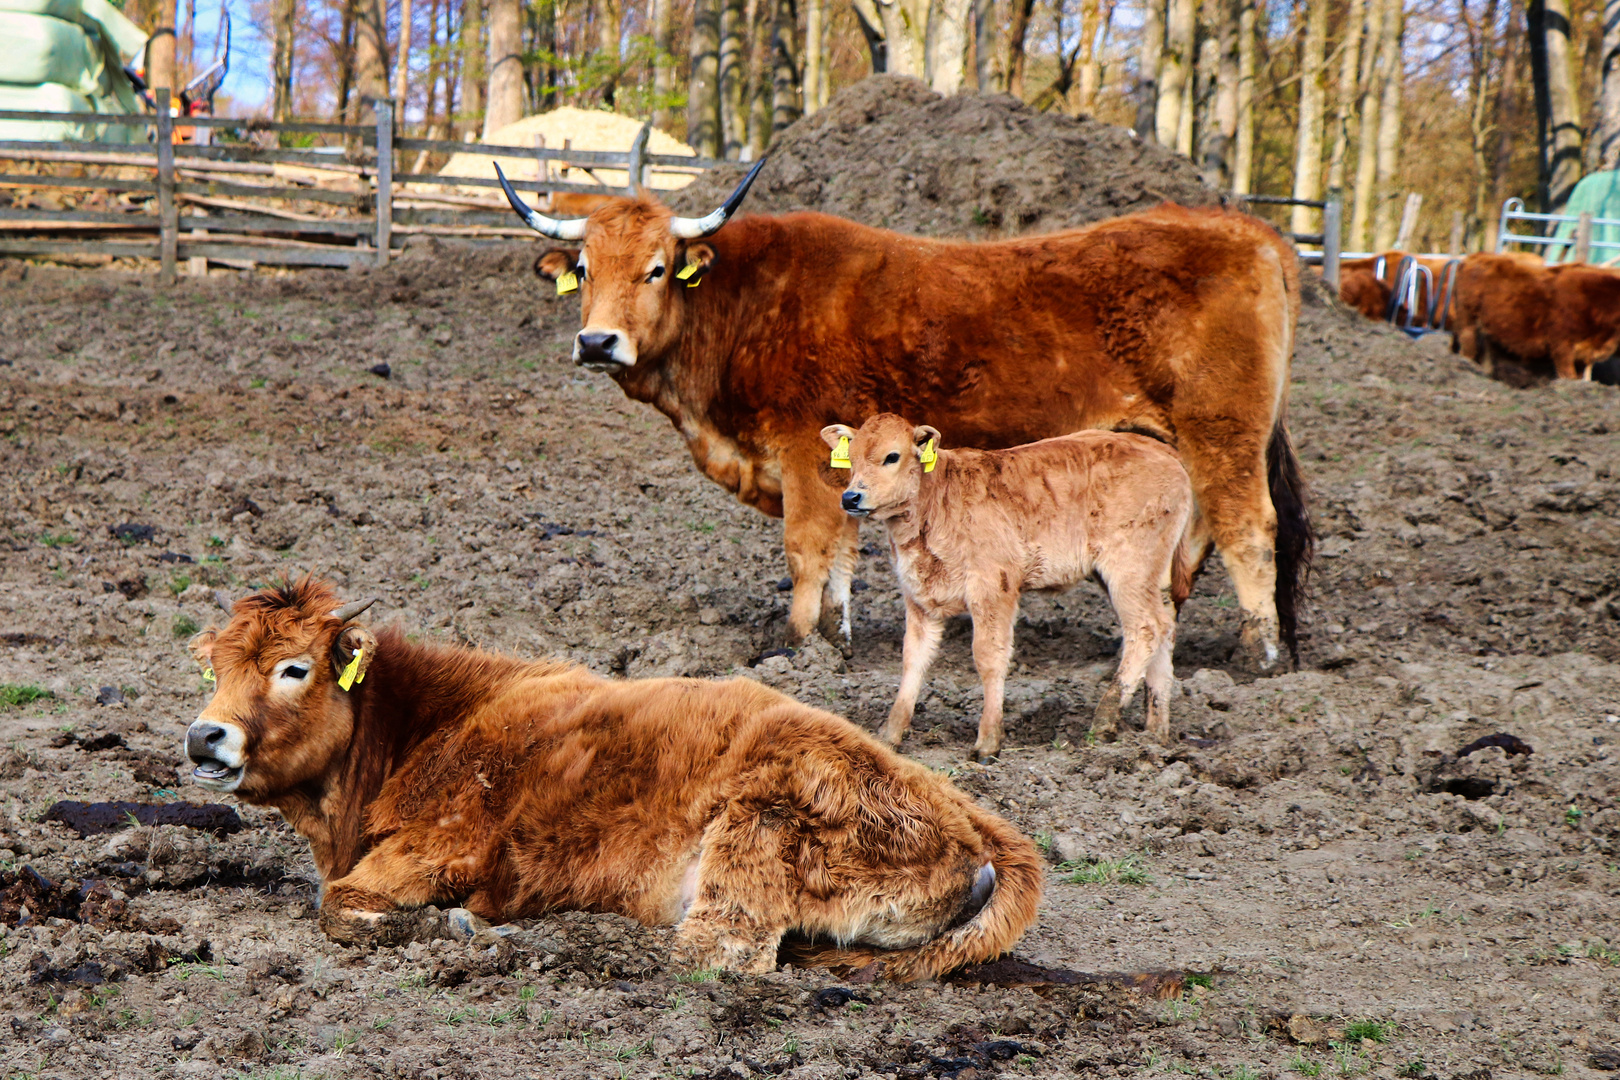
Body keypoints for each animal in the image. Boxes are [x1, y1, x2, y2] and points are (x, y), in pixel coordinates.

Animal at [183, 579, 1043, 984]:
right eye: (214, 667)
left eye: (295, 669)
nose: (202, 736)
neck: (424, 722)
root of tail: (972, 821)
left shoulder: (436, 850)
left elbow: (340, 906)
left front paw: (452, 927)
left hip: (755, 826)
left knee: (715, 953)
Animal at [495, 160, 1315, 676]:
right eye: (585, 271)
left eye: (658, 268)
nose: (597, 342)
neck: (747, 304)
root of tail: (1248, 231)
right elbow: (840, 555)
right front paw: (836, 639)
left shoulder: (801, 451)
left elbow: (807, 549)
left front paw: (795, 648)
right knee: (1200, 528)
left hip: (1223, 430)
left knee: (1249, 528)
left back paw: (1259, 656)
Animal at [822, 414, 1192, 761]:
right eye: (850, 457)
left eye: (892, 456)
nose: (851, 497)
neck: (936, 501)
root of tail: (1164, 452)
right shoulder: (919, 597)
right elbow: (914, 658)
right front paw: (889, 736)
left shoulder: (993, 589)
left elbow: (989, 657)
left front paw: (987, 742)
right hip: (1150, 575)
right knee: (1166, 628)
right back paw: (1155, 732)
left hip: (1129, 567)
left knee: (1145, 628)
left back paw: (1104, 719)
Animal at [1451, 254, 1620, 383]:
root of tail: (1474, 257)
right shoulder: (1562, 347)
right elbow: (1567, 375)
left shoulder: (1581, 355)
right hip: (1467, 321)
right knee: (1467, 347)